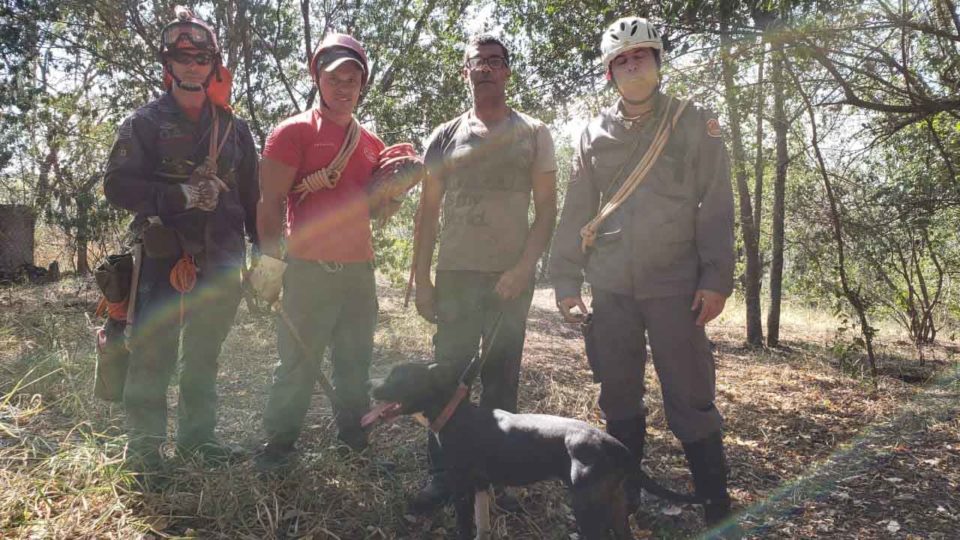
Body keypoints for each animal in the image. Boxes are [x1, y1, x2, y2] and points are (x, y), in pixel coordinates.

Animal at [364, 362, 700, 540]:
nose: (369, 385)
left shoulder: (462, 489)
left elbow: (463, 526)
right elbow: (482, 525)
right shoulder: (480, 487)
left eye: (398, 375)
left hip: (587, 507)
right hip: (614, 504)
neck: (454, 414)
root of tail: (614, 444)